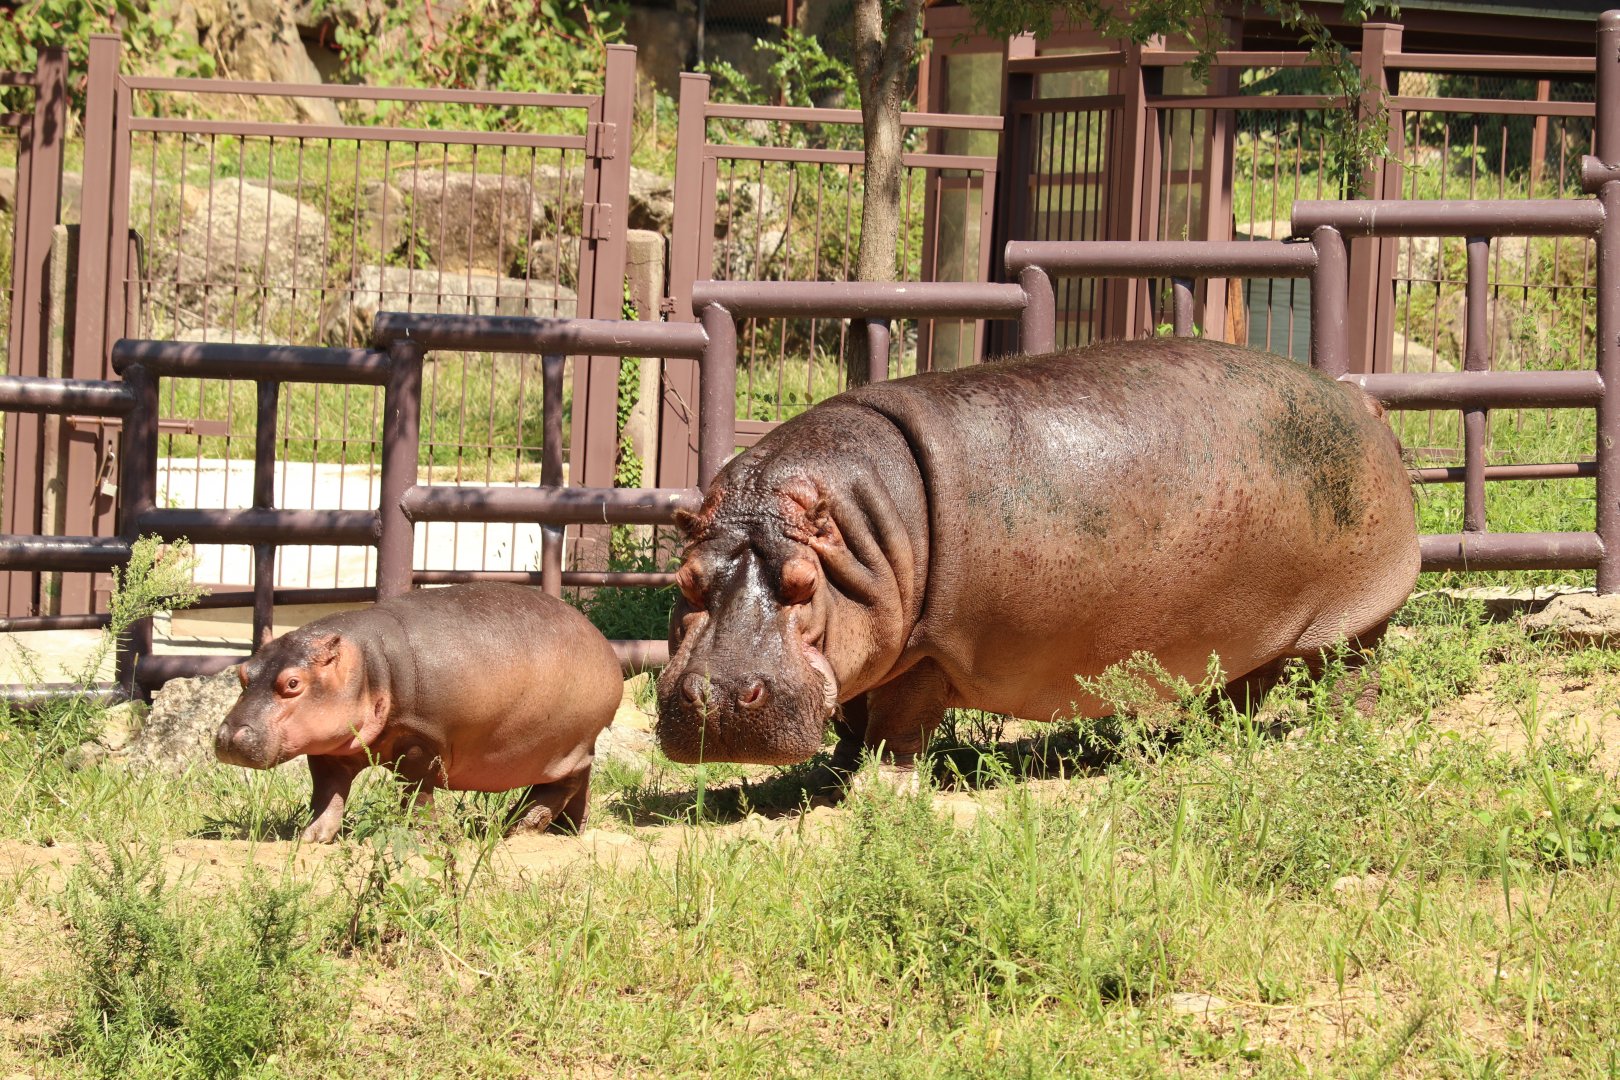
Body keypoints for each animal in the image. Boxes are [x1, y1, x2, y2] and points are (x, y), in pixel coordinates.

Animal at [215, 582, 624, 842]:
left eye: (292, 683)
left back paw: (517, 827)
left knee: (566, 783)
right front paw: (311, 837)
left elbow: (416, 793)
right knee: (578, 783)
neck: (367, 665)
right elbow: (327, 794)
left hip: (568, 743)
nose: (229, 737)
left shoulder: (422, 742)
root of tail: (603, 644)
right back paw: (566, 830)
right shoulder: (330, 747)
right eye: (243, 673)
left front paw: (419, 836)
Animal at [655, 338, 1418, 768]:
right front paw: (835, 765)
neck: (860, 536)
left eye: (802, 583)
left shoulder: (928, 651)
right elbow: (852, 710)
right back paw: (1202, 741)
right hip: (1253, 629)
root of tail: (1362, 401)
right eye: (686, 580)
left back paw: (1332, 740)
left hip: (1355, 619)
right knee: (1243, 687)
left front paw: (877, 779)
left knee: (1351, 680)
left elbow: (895, 722)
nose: (718, 697)